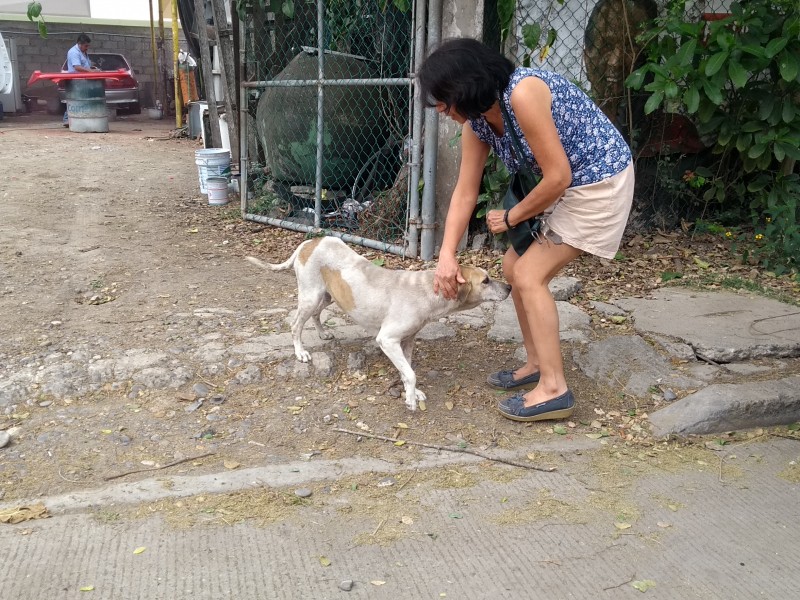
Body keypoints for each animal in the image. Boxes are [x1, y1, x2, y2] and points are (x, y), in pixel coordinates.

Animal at [247, 237, 512, 410]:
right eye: (486, 280)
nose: (510, 287)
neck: (426, 289)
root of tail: (310, 242)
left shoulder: (406, 342)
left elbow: (407, 371)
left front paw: (412, 393)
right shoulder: (387, 340)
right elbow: (411, 373)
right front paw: (410, 400)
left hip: (328, 296)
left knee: (315, 315)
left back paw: (323, 334)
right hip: (311, 296)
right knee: (295, 325)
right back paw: (300, 352)